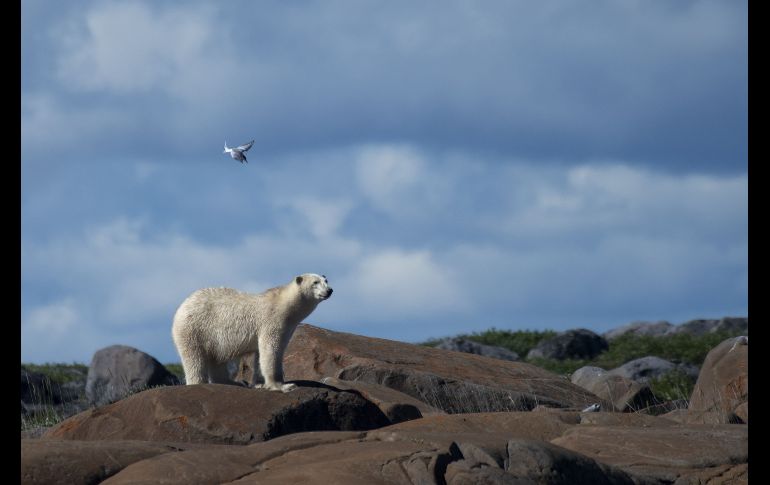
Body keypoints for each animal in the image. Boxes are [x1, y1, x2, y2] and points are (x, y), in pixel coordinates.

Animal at [171, 273, 333, 392]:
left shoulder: (286, 327)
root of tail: (182, 306)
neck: (284, 305)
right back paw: (198, 382)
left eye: (326, 280)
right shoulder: (271, 321)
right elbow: (270, 351)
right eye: (315, 282)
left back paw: (232, 382)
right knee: (194, 359)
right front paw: (283, 386)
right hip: (195, 329)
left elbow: (262, 355)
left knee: (217, 359)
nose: (329, 290)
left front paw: (261, 384)